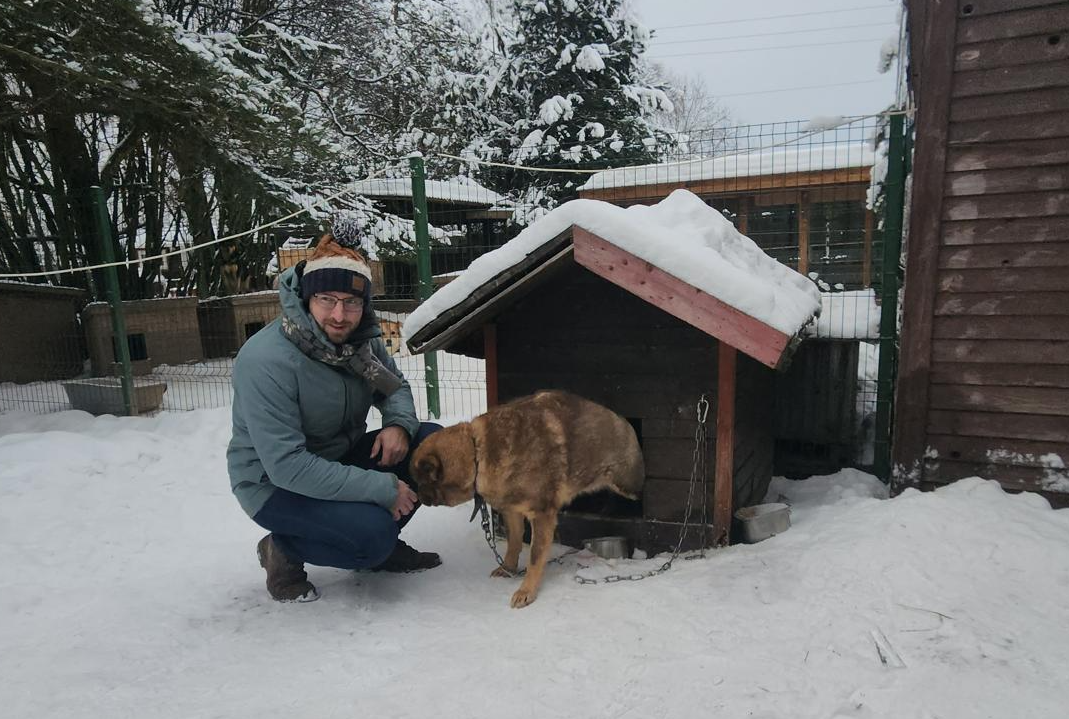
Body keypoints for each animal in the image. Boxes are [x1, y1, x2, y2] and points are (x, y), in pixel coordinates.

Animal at [408, 393, 641, 606]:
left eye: (421, 482)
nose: (415, 495)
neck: (477, 452)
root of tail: (625, 422)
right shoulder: (512, 511)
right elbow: (514, 543)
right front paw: (509, 568)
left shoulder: (541, 515)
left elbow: (535, 558)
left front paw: (526, 590)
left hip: (628, 486)